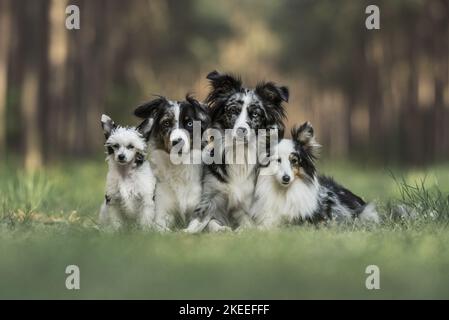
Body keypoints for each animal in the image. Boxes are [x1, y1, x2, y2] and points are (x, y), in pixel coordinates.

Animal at [185, 70, 288, 232]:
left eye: (255, 114)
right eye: (233, 110)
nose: (241, 131)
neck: (239, 152)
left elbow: (248, 222)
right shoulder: (210, 192)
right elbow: (202, 216)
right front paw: (188, 231)